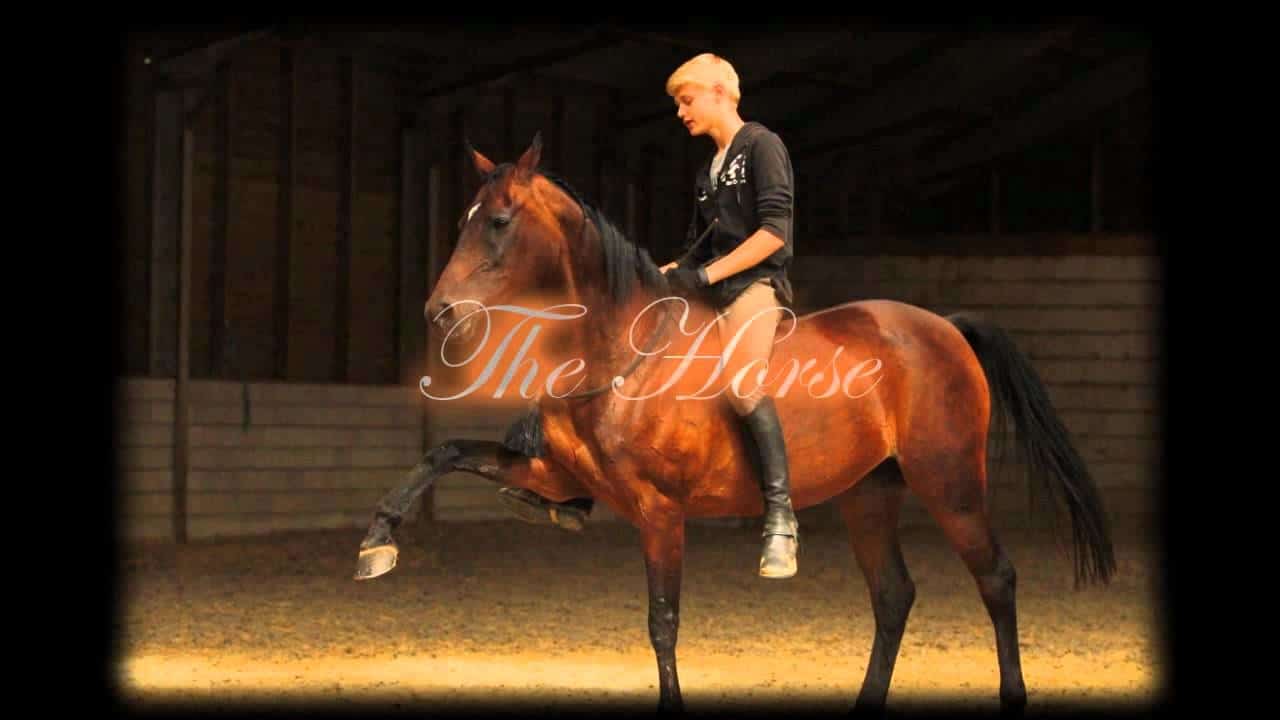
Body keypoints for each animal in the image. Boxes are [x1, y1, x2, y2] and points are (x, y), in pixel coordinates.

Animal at [353, 134, 1115, 714]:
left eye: (501, 222)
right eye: (464, 220)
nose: (440, 312)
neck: (622, 351)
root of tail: (944, 327)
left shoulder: (660, 512)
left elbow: (663, 623)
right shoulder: (558, 474)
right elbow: (445, 452)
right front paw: (376, 542)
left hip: (950, 483)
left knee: (996, 579)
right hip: (870, 493)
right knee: (894, 595)